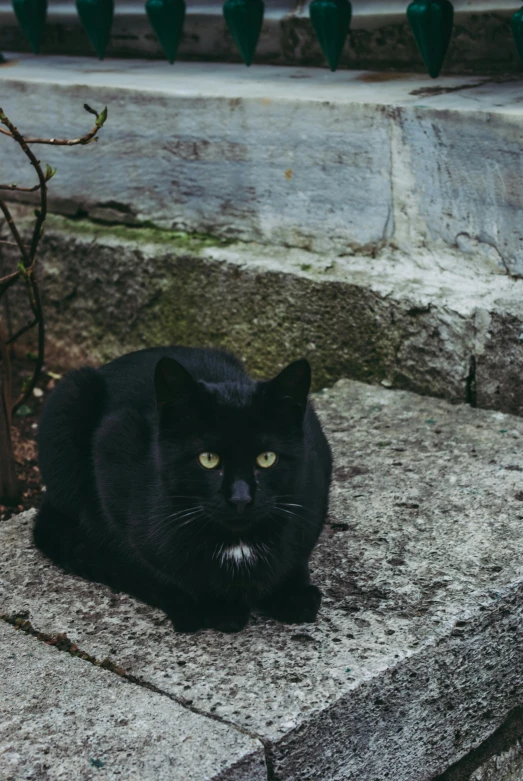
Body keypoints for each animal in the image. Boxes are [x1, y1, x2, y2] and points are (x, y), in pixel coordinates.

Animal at [34, 348, 334, 632]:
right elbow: (147, 562)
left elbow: (295, 556)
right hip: (70, 396)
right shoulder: (111, 444)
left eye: (267, 458)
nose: (240, 498)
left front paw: (294, 593)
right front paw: (214, 606)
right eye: (208, 459)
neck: (237, 544)